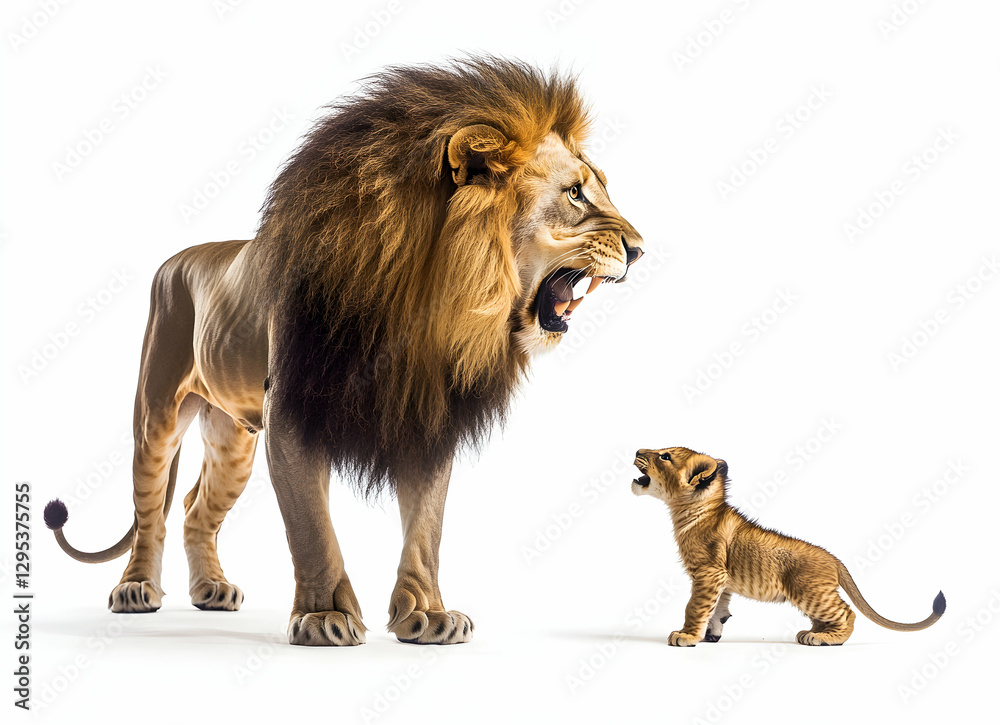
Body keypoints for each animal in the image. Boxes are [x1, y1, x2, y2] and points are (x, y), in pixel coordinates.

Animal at [42, 57, 644, 646]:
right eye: (575, 193)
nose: (640, 250)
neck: (426, 301)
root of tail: (181, 257)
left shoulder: (426, 413)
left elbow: (426, 528)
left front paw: (428, 614)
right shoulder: (292, 409)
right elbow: (312, 526)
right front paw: (323, 616)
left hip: (232, 438)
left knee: (194, 508)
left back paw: (211, 589)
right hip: (158, 412)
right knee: (150, 509)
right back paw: (136, 589)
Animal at [631, 447, 945, 646]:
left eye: (665, 456)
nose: (636, 452)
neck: (688, 509)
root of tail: (834, 559)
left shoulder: (708, 572)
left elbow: (695, 606)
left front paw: (685, 635)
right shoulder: (720, 577)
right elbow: (717, 607)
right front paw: (712, 634)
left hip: (809, 592)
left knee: (848, 613)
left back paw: (823, 639)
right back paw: (812, 633)